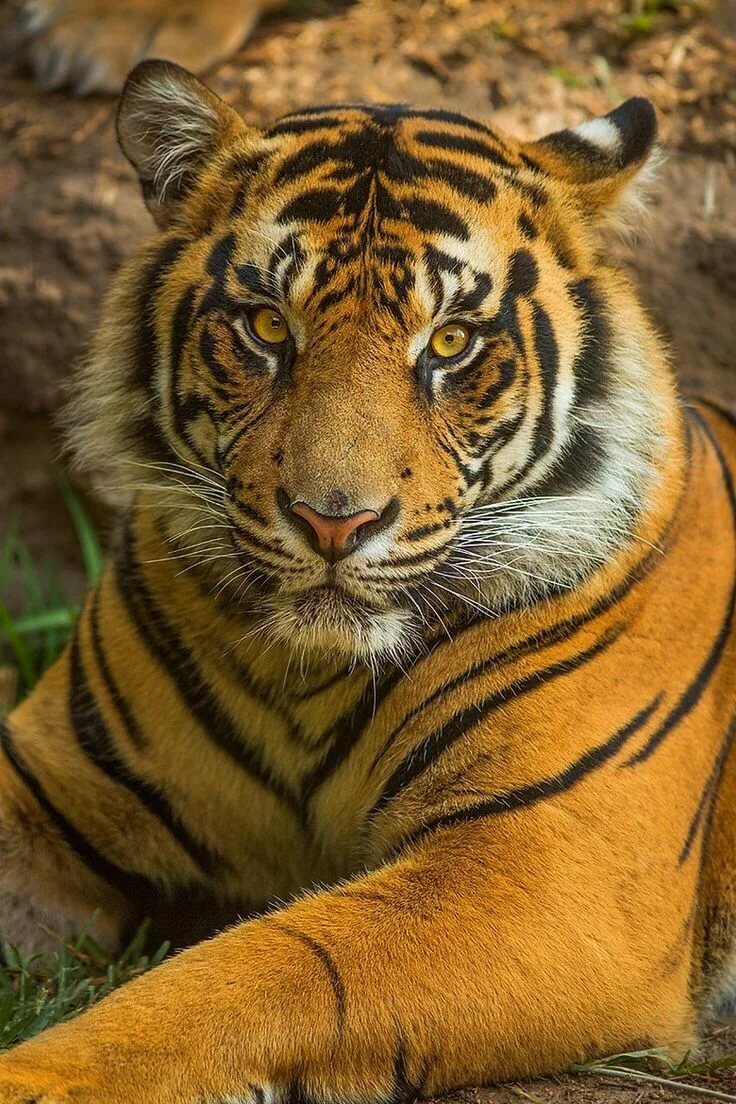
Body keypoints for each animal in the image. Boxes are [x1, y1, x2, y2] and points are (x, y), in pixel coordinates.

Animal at [0, 56, 734, 1104]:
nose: (333, 521)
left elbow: (268, 965)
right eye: (268, 327)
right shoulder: (47, 786)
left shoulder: (550, 866)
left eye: (452, 343)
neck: (308, 678)